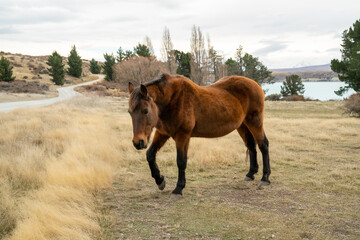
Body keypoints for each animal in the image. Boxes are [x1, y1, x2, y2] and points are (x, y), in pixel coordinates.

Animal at [127, 73, 270, 199]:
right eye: (129, 112)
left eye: (145, 111)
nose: (138, 142)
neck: (173, 99)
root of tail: (255, 84)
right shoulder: (163, 133)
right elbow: (150, 155)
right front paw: (160, 180)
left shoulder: (182, 136)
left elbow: (181, 161)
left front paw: (178, 189)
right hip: (242, 125)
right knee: (251, 146)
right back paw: (250, 174)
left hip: (255, 122)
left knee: (263, 145)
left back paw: (265, 178)